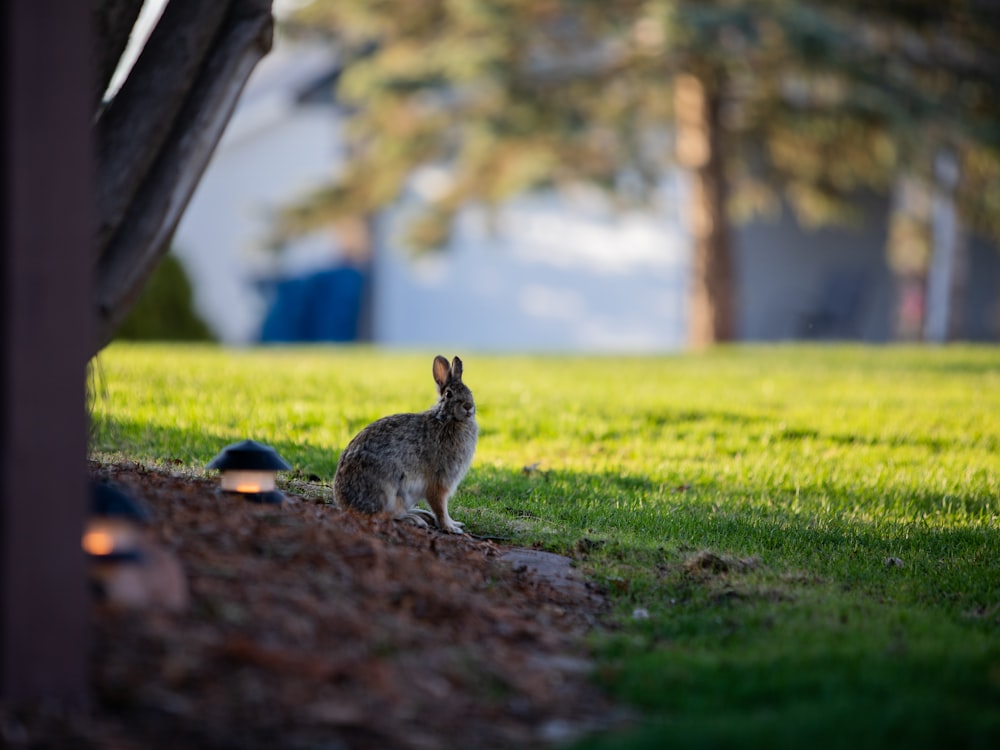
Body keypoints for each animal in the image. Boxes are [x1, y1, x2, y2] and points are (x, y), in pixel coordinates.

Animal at [334, 354, 478, 536]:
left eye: (469, 391)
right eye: (449, 394)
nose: (468, 406)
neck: (447, 419)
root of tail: (343, 502)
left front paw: (455, 523)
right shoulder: (438, 481)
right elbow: (440, 507)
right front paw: (450, 528)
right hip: (388, 490)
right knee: (382, 515)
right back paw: (414, 518)